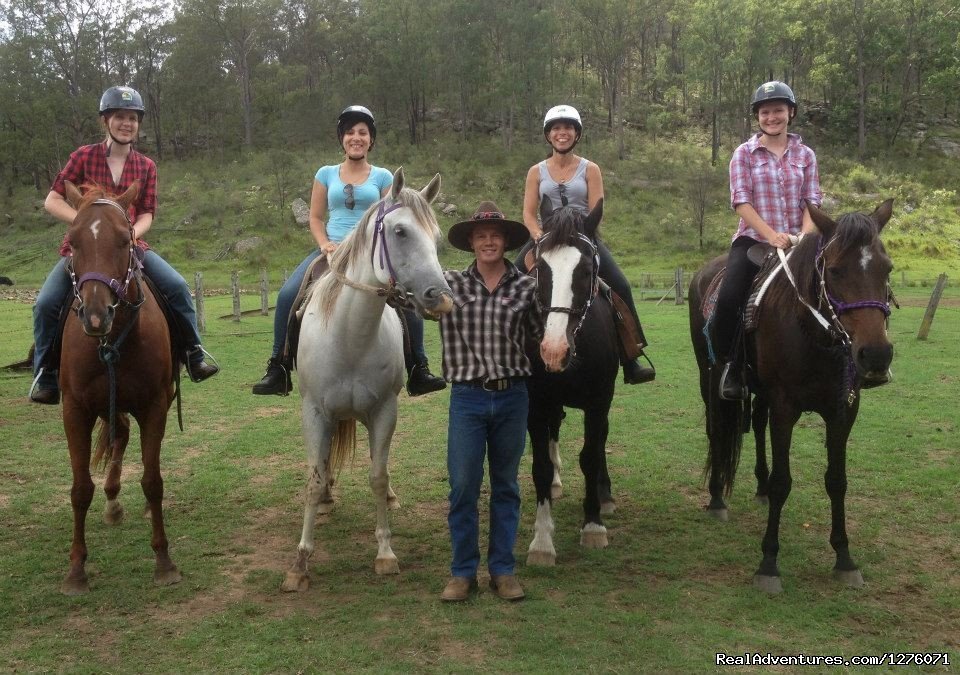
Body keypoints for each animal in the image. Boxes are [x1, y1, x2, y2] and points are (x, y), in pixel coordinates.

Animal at [58, 181, 180, 596]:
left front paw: (164, 561)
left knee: (124, 439)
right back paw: (111, 503)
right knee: (119, 436)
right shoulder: (74, 410)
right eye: (73, 241)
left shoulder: (154, 405)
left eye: (125, 241)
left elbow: (152, 481)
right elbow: (80, 489)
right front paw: (76, 569)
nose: (96, 316)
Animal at [282, 169, 454, 592]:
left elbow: (378, 475)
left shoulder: (383, 412)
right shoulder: (314, 413)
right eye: (400, 231)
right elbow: (313, 480)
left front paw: (386, 553)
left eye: (437, 236)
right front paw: (300, 562)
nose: (440, 298)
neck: (350, 335)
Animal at [524, 198, 624, 568]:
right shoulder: (537, 404)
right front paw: (541, 542)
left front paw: (593, 525)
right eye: (541, 267)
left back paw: (605, 495)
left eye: (585, 270)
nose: (554, 350)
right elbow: (540, 466)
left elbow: (591, 456)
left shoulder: (598, 402)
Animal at [688, 199, 892, 592]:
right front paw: (768, 563)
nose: (876, 356)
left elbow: (837, 481)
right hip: (710, 376)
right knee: (717, 430)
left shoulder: (843, 412)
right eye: (836, 270)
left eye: (887, 268)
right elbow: (784, 482)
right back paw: (718, 498)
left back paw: (760, 487)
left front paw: (844, 558)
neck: (812, 332)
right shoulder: (786, 409)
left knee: (756, 423)